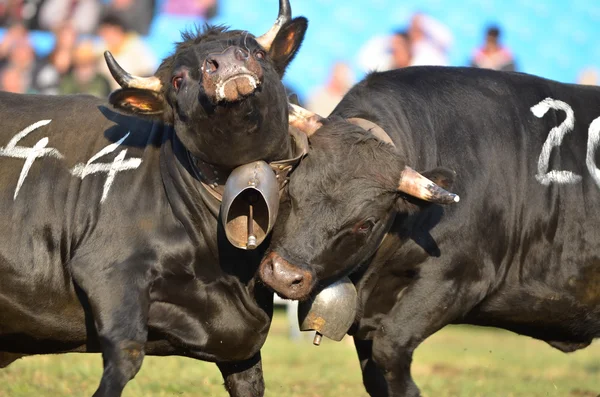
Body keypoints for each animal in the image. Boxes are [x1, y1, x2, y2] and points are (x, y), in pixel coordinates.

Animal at [0, 1, 308, 394]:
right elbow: (126, 355)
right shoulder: (109, 269)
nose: (226, 61)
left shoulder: (240, 339)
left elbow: (250, 382)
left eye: (256, 52)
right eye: (178, 79)